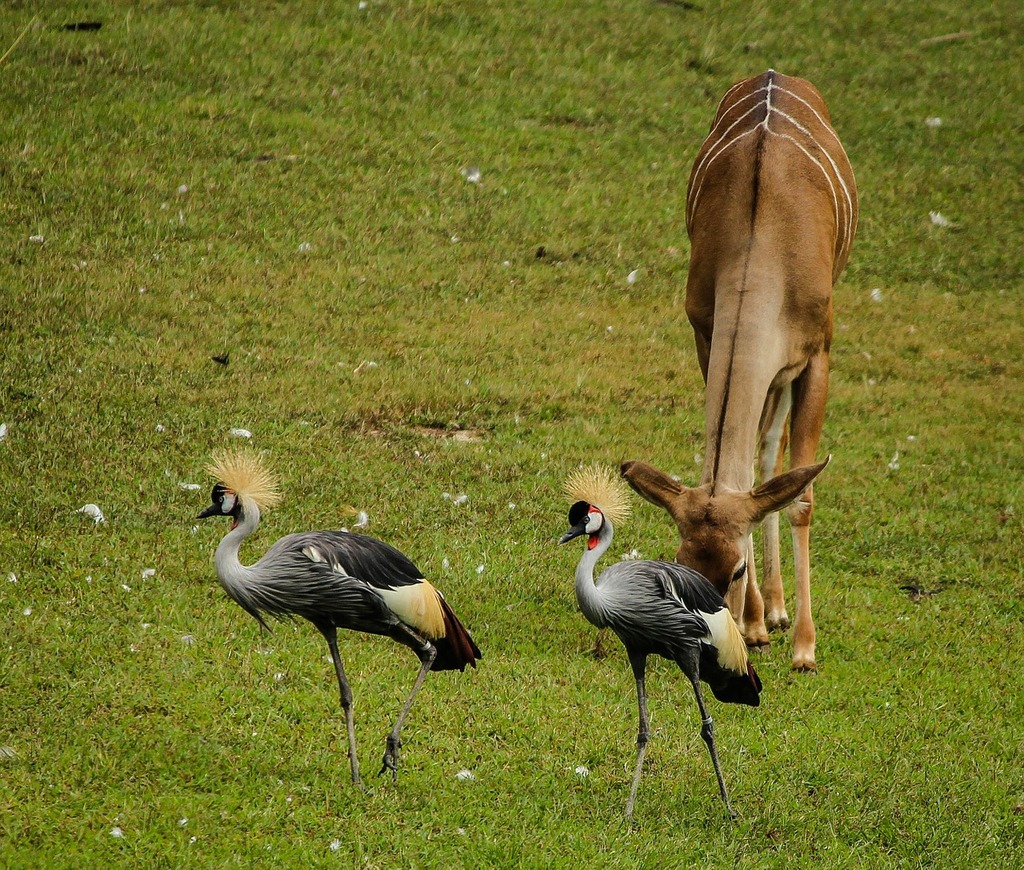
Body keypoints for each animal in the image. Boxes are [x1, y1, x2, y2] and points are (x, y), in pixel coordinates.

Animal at [622, 72, 856, 671]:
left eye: (734, 569)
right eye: (678, 569)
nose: (706, 639)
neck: (761, 243)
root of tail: (776, 74)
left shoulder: (819, 353)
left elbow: (799, 495)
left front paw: (804, 647)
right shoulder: (705, 333)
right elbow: (747, 471)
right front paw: (755, 625)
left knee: (775, 449)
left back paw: (780, 613)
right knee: (764, 448)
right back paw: (767, 611)